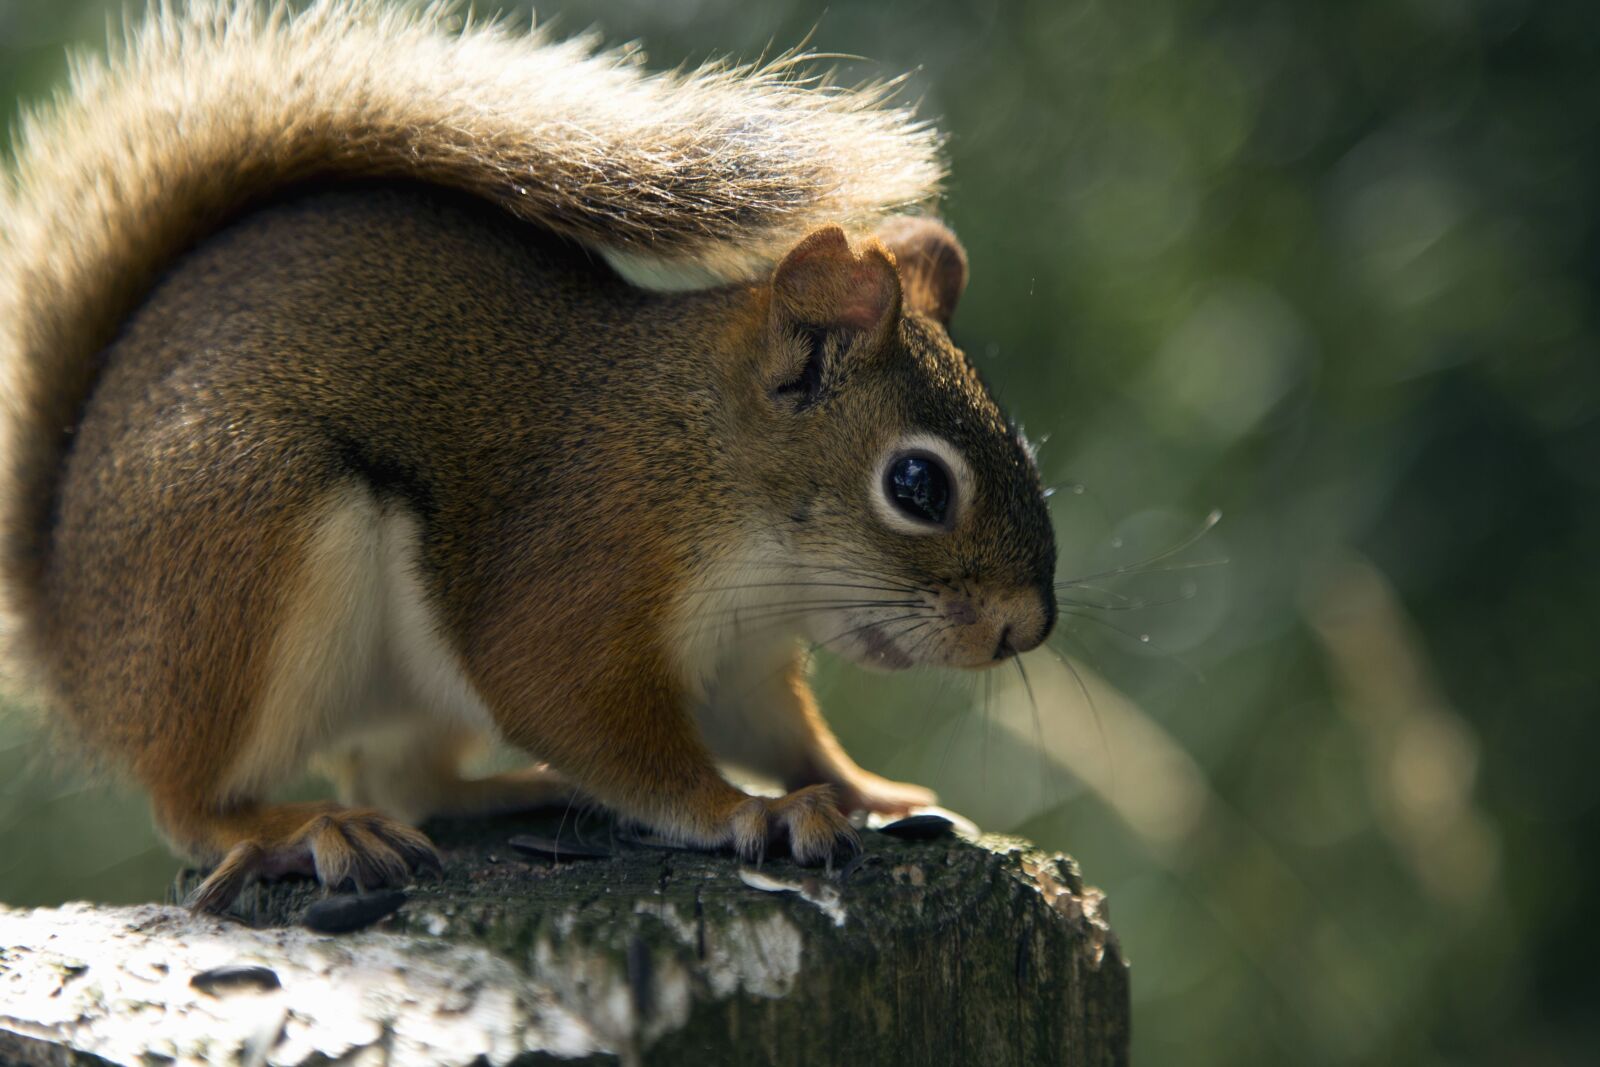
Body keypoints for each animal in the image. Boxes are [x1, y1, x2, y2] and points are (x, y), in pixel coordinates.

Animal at [0, 0, 1057, 912]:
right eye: (917, 484)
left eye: (1026, 452)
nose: (1027, 628)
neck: (707, 466)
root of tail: (72, 640)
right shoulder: (578, 571)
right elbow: (584, 713)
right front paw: (752, 811)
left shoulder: (742, 660)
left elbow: (781, 735)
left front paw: (869, 790)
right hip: (241, 555)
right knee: (192, 804)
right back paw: (305, 827)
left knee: (407, 779)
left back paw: (514, 791)